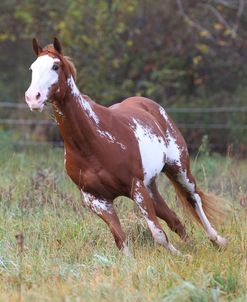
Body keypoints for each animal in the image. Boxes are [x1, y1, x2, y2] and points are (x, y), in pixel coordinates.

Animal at [25, 37, 228, 255]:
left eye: (55, 66)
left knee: (194, 198)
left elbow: (158, 234)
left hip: (178, 169)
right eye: (32, 68)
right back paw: (192, 246)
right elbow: (121, 240)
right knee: (173, 218)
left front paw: (180, 256)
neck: (91, 144)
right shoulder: (97, 200)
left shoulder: (135, 186)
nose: (33, 97)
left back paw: (217, 240)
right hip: (150, 186)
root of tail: (149, 104)